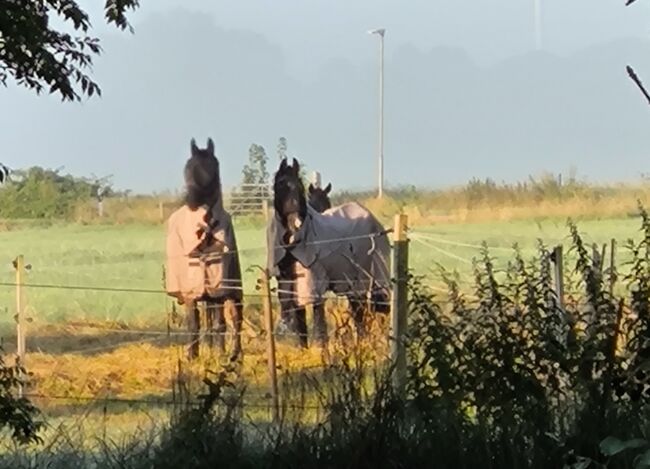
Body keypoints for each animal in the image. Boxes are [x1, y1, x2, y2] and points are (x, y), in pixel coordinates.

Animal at [165, 137, 243, 360]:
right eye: (188, 167)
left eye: (213, 166)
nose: (191, 201)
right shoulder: (191, 291)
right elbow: (194, 323)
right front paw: (192, 356)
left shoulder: (218, 289)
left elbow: (219, 324)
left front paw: (220, 354)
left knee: (234, 319)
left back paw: (232, 353)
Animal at [264, 158, 388, 348]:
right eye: (280, 185)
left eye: (300, 187)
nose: (295, 223)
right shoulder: (290, 284)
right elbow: (299, 320)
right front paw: (303, 348)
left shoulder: (315, 284)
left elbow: (318, 319)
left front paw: (321, 347)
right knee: (358, 311)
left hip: (365, 279)